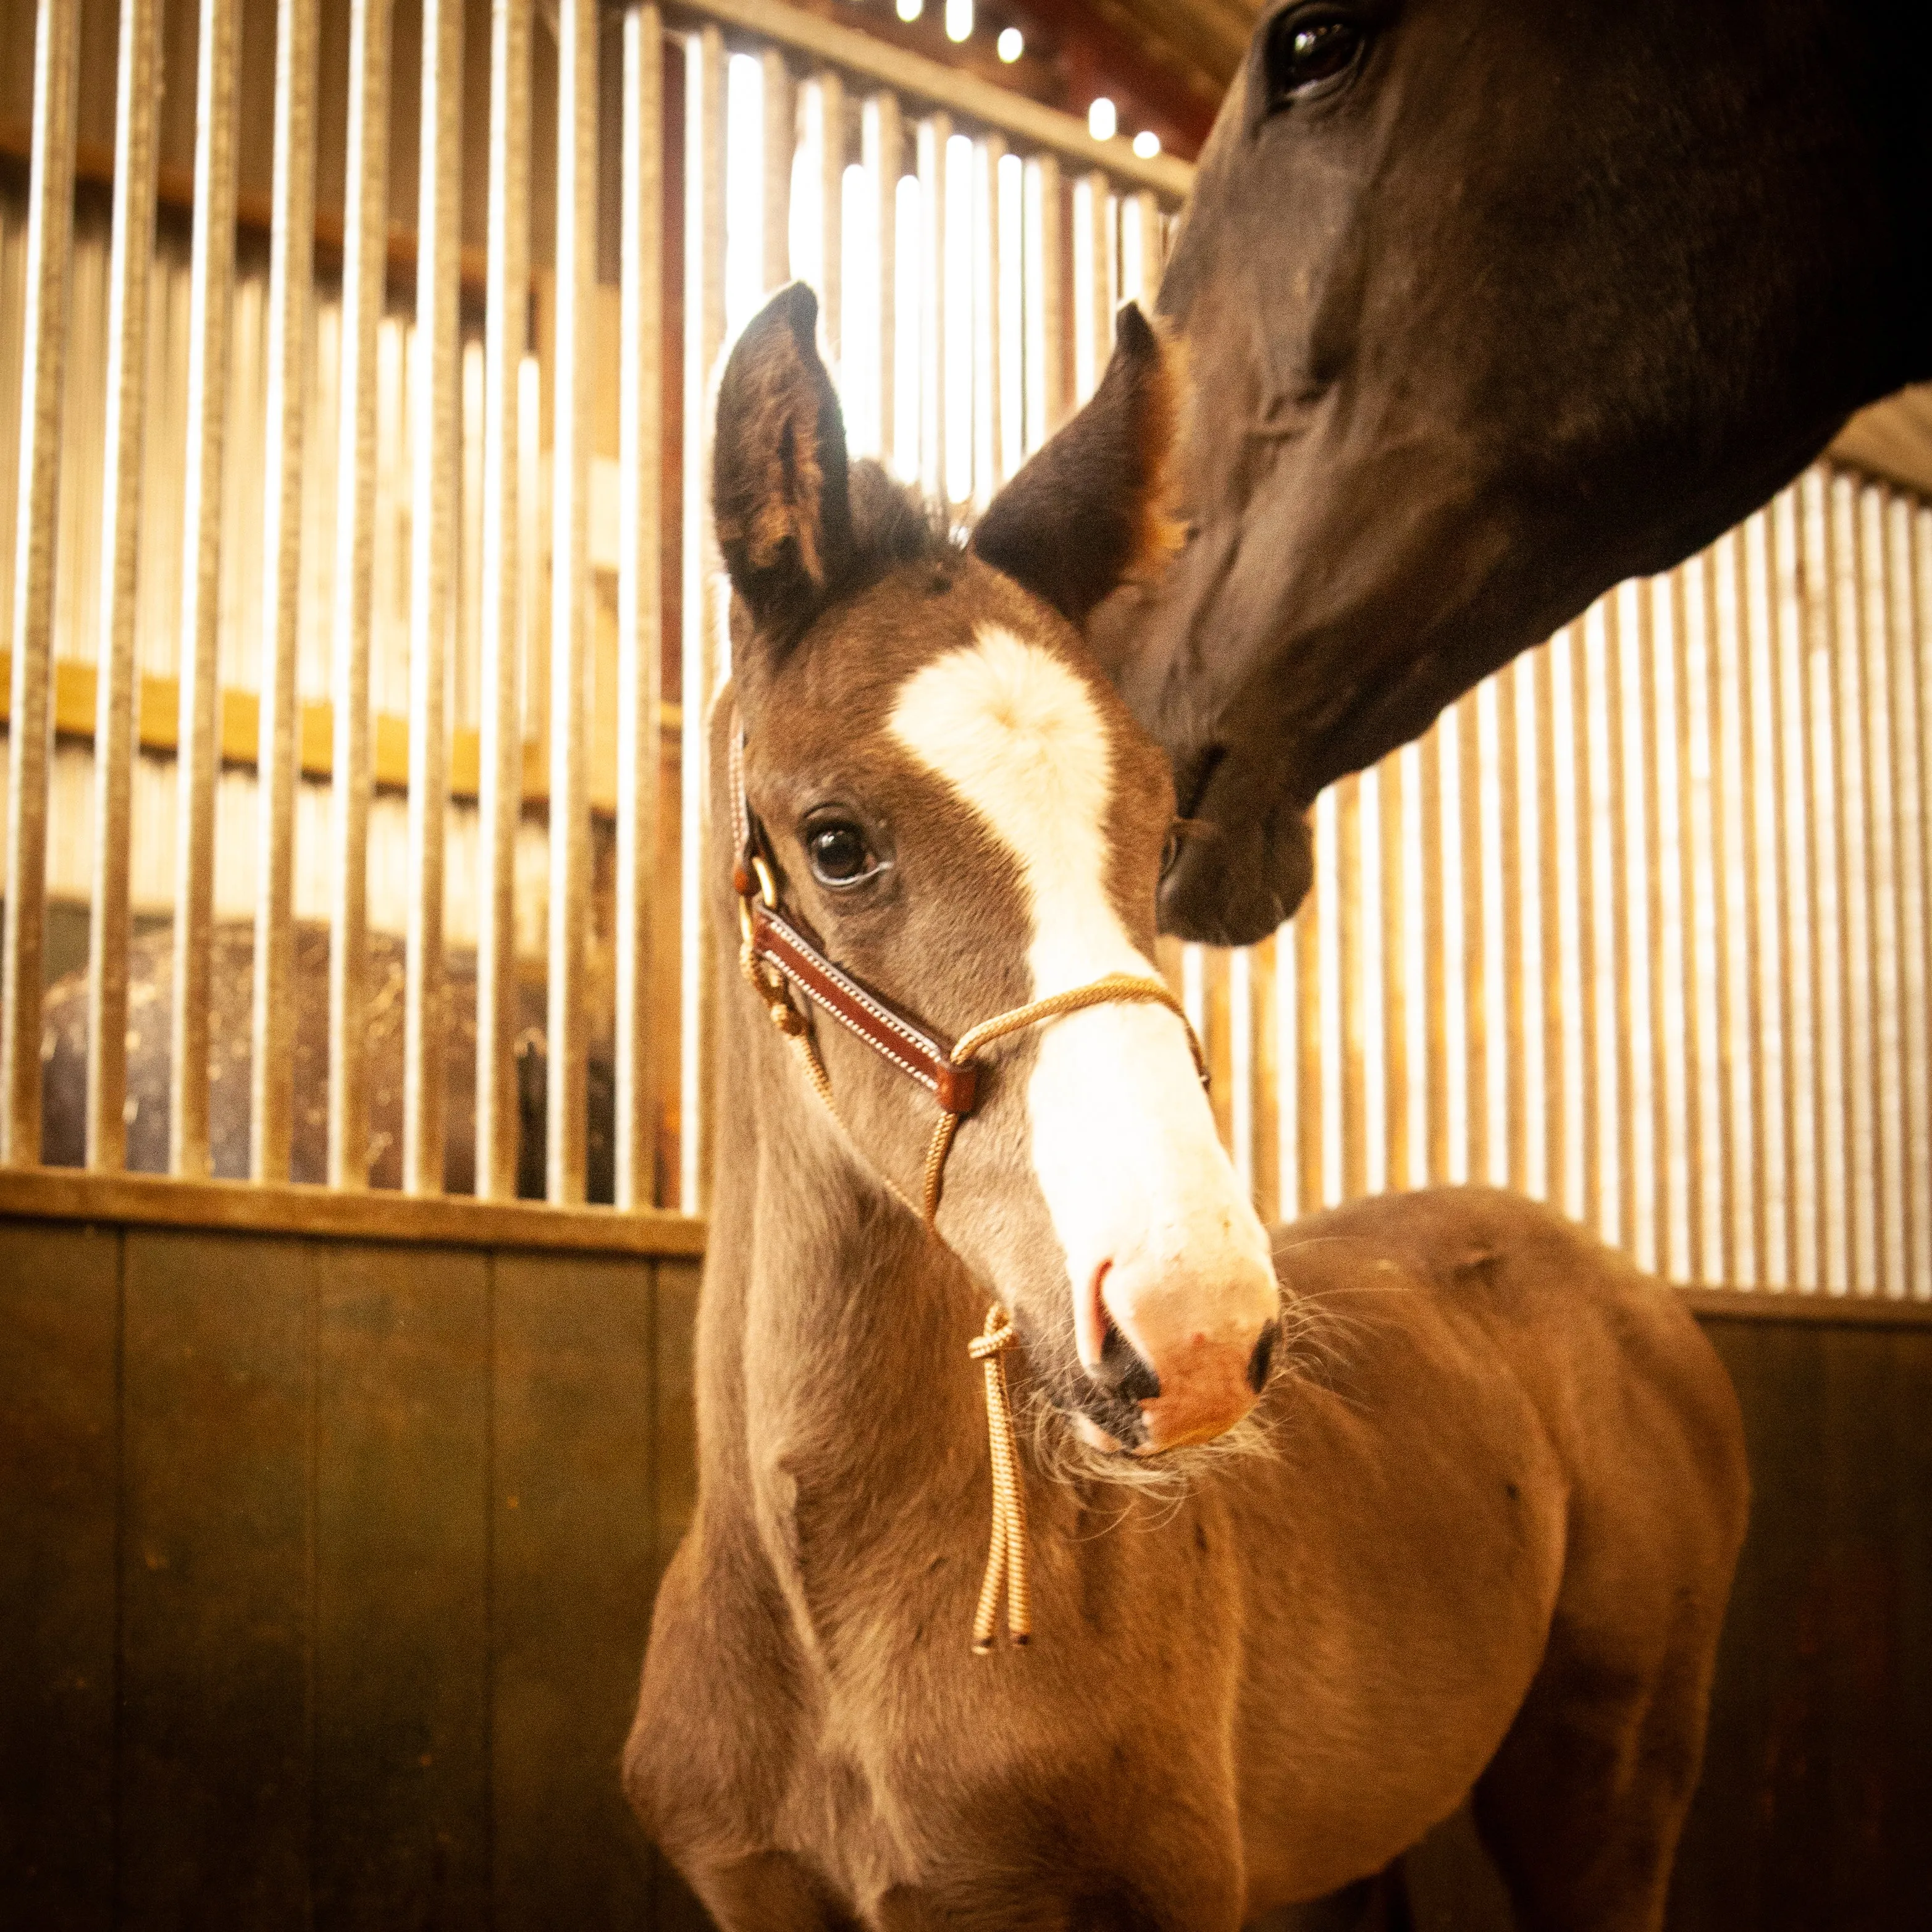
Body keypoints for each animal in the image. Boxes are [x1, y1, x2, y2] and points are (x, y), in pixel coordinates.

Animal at [622, 282, 1754, 1932]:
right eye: (834, 841)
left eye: (1161, 830)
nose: (1197, 1322)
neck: (832, 1614)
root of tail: (1621, 1288)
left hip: (1607, 1776)